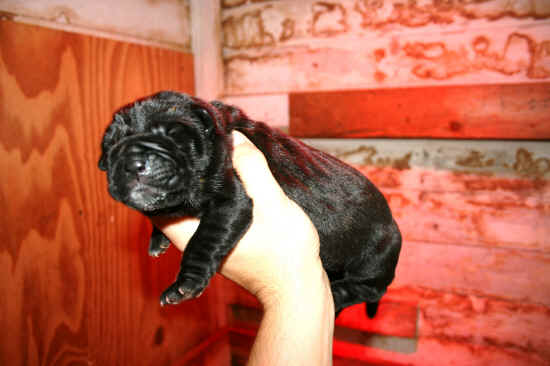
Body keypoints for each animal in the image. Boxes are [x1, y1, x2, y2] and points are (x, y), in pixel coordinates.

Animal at [98, 90, 402, 316]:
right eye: (110, 145)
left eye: (174, 134)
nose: (133, 163)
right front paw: (157, 238)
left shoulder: (231, 202)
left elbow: (203, 240)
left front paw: (185, 283)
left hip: (374, 260)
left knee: (371, 289)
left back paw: (338, 294)